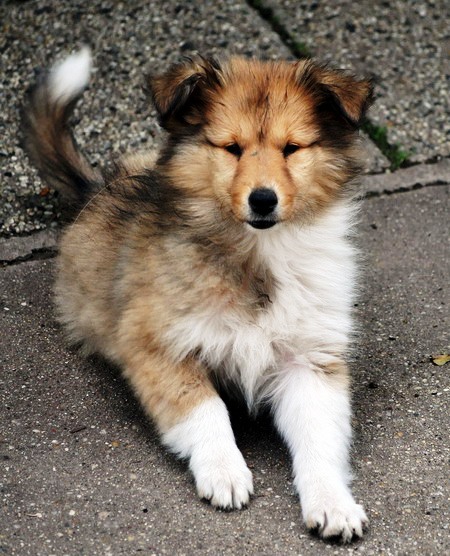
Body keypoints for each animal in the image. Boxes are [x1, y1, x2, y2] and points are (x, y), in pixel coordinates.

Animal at [22, 48, 373, 542]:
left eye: (292, 148)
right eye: (231, 148)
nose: (262, 200)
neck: (257, 257)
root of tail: (98, 190)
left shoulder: (311, 360)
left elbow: (319, 439)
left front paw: (333, 503)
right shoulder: (156, 345)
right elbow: (206, 409)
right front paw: (225, 471)